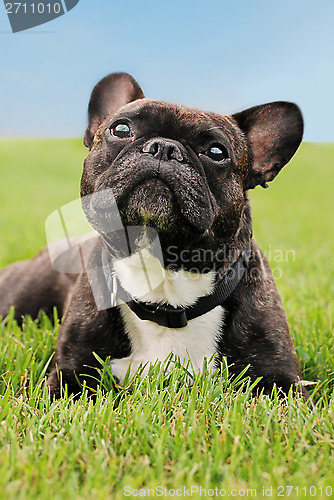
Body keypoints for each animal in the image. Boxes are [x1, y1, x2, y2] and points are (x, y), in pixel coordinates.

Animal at [0, 72, 308, 398]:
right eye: (121, 129)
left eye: (217, 152)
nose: (164, 148)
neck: (164, 285)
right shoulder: (68, 375)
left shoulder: (282, 381)